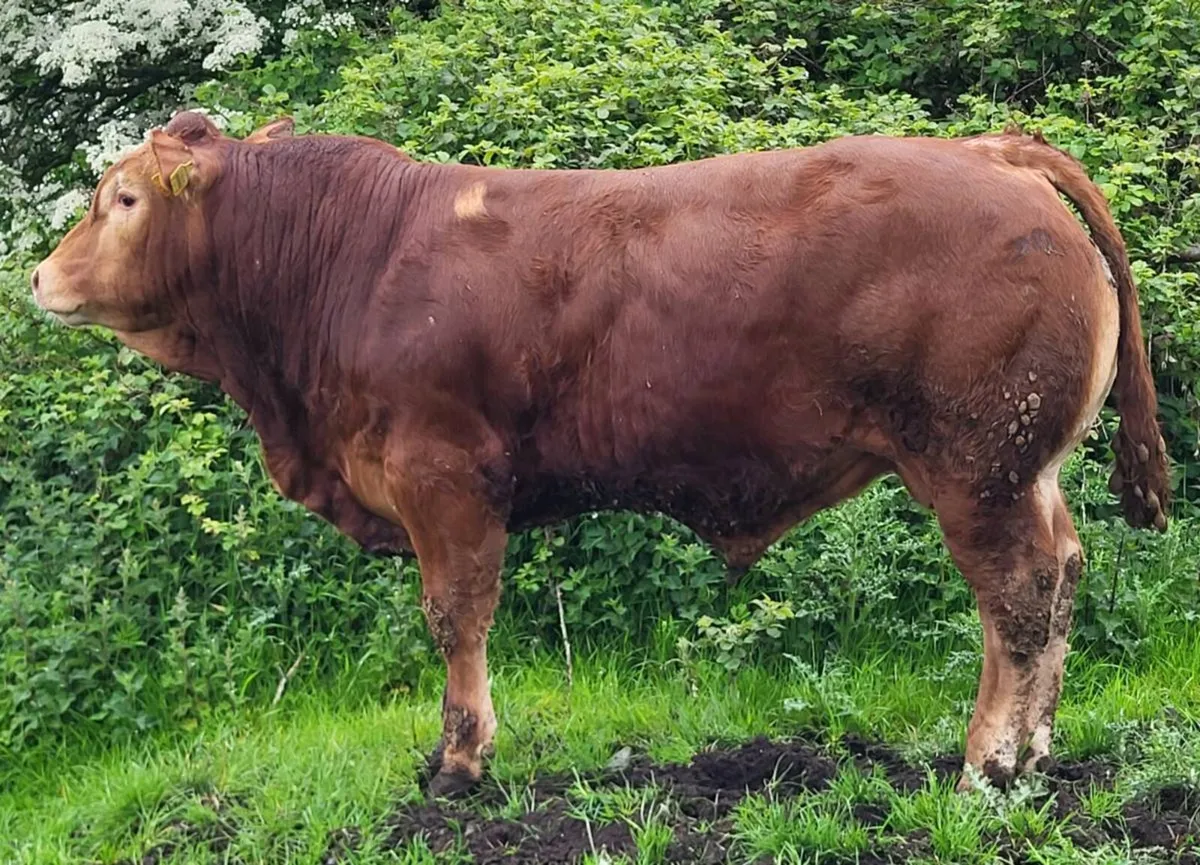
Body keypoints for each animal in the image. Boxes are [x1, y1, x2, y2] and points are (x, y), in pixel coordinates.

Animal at [31, 110, 1170, 796]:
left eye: (120, 198)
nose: (39, 277)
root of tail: (992, 150)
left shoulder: (443, 477)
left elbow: (456, 617)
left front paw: (459, 763)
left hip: (977, 466)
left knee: (1015, 597)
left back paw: (988, 763)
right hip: (1025, 469)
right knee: (1059, 579)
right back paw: (1037, 750)